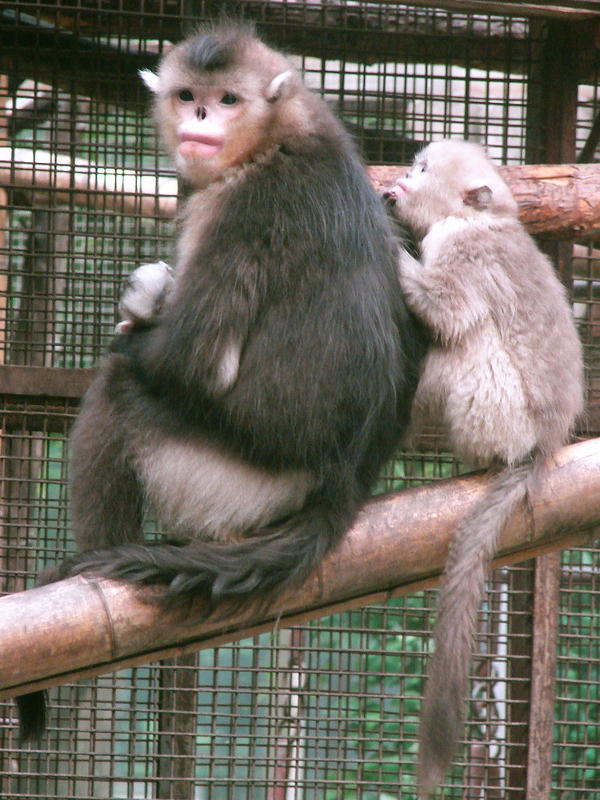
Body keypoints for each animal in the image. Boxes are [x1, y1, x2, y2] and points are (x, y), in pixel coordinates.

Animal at [15, 23, 427, 741]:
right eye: (189, 96)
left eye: (228, 99)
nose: (202, 118)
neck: (282, 136)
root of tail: (340, 485)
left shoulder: (239, 209)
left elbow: (186, 363)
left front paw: (137, 324)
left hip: (223, 483)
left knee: (120, 390)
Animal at [385, 139, 584, 797]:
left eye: (421, 170)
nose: (398, 178)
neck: (480, 219)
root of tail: (542, 445)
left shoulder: (461, 247)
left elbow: (448, 311)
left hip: (495, 412)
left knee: (463, 342)